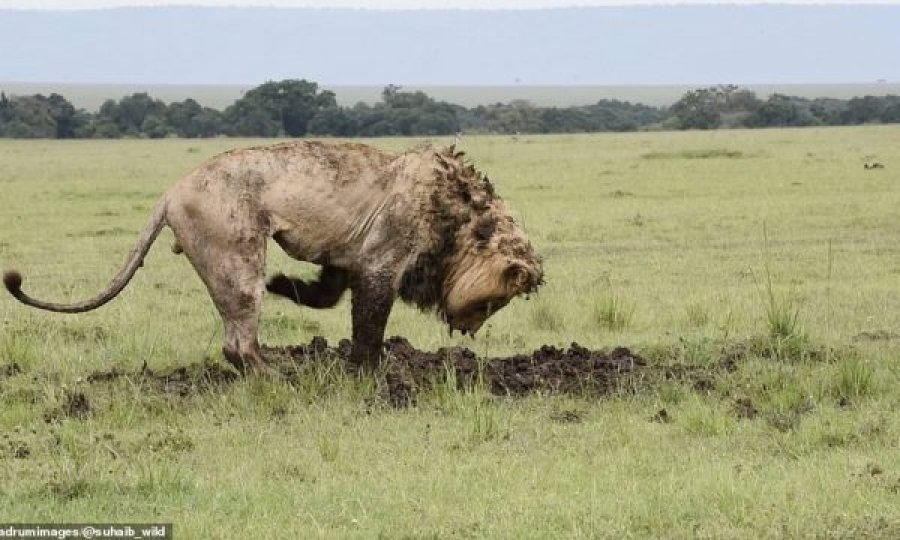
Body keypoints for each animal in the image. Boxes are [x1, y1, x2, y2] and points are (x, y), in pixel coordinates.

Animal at [3, 141, 540, 374]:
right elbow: (369, 327)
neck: (463, 215)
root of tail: (171, 191)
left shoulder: (345, 258)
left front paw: (286, 283)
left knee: (238, 344)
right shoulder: (380, 263)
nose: (470, 328)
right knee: (237, 345)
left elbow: (325, 296)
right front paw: (369, 374)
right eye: (493, 302)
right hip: (237, 263)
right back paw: (281, 375)